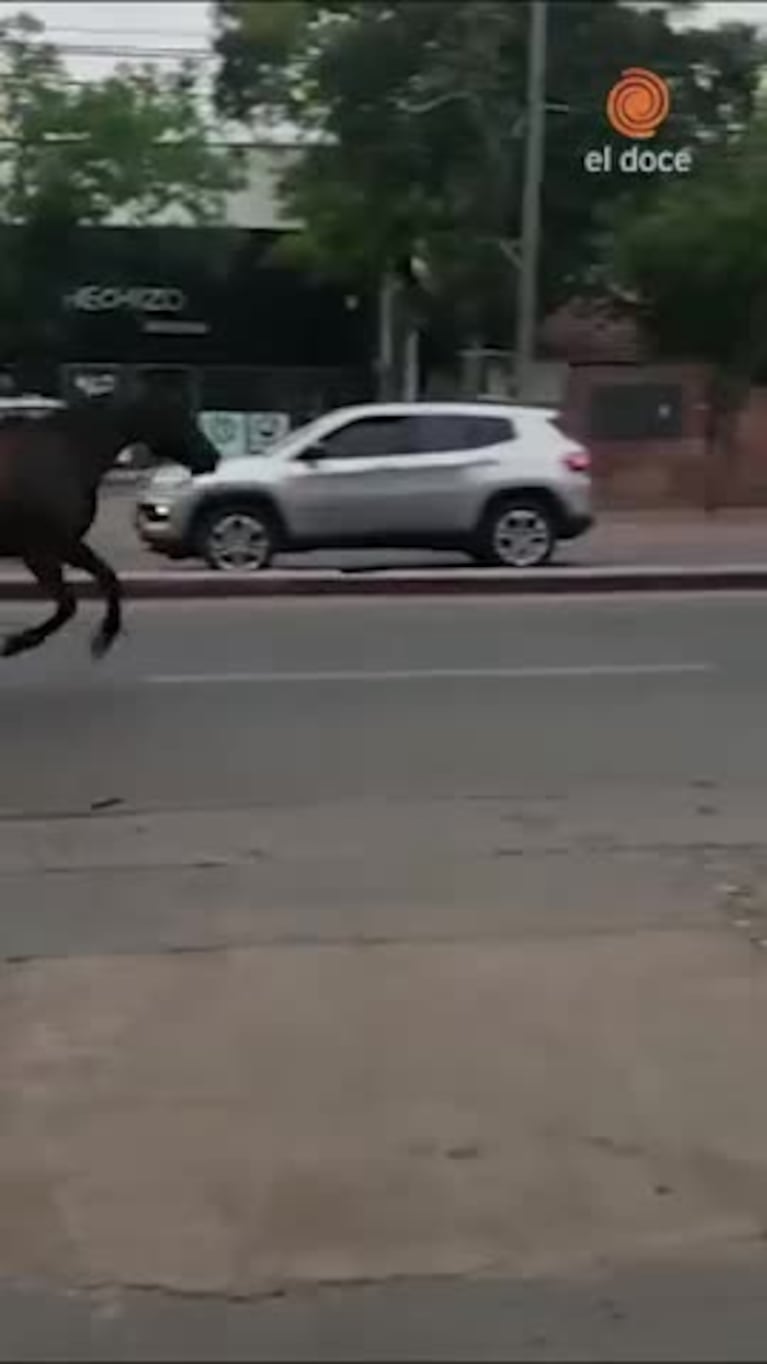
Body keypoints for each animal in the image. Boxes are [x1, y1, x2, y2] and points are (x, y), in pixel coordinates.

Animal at [0, 384, 218, 660]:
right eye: (179, 415)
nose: (212, 456)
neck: (71, 453)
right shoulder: (47, 549)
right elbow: (74, 600)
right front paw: (19, 642)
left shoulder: (58, 549)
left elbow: (105, 581)